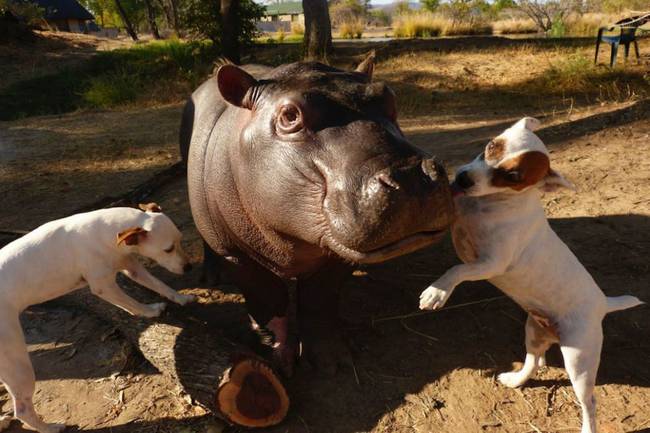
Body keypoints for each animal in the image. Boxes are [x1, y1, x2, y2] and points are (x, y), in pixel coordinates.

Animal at [0, 202, 197, 432]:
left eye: (180, 240)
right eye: (168, 248)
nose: (189, 267)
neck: (106, 233)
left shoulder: (132, 266)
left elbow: (160, 285)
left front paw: (181, 298)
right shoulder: (104, 286)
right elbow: (130, 303)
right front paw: (149, 311)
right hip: (17, 362)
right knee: (22, 409)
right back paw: (51, 428)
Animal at [180, 53, 454, 372]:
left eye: (389, 95)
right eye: (289, 116)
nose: (411, 177)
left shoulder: (338, 255)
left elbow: (319, 300)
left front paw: (332, 363)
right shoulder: (236, 255)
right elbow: (267, 300)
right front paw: (278, 361)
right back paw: (211, 277)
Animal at [418, 116, 640, 432]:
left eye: (513, 176)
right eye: (492, 146)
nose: (463, 179)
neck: (491, 202)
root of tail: (602, 302)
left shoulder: (491, 263)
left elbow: (457, 269)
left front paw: (437, 293)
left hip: (579, 360)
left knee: (590, 402)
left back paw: (587, 425)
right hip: (534, 332)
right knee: (533, 362)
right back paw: (515, 380)